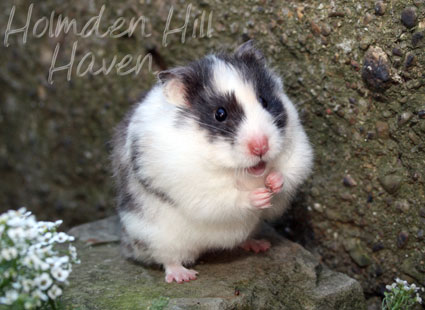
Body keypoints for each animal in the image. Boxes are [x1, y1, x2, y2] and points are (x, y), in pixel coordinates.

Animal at [111, 41, 314, 284]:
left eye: (264, 101)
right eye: (220, 114)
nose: (261, 147)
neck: (243, 172)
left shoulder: (299, 152)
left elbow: (287, 173)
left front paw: (273, 183)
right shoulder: (197, 187)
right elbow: (228, 197)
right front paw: (260, 196)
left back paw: (259, 245)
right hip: (153, 235)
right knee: (167, 258)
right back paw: (183, 276)